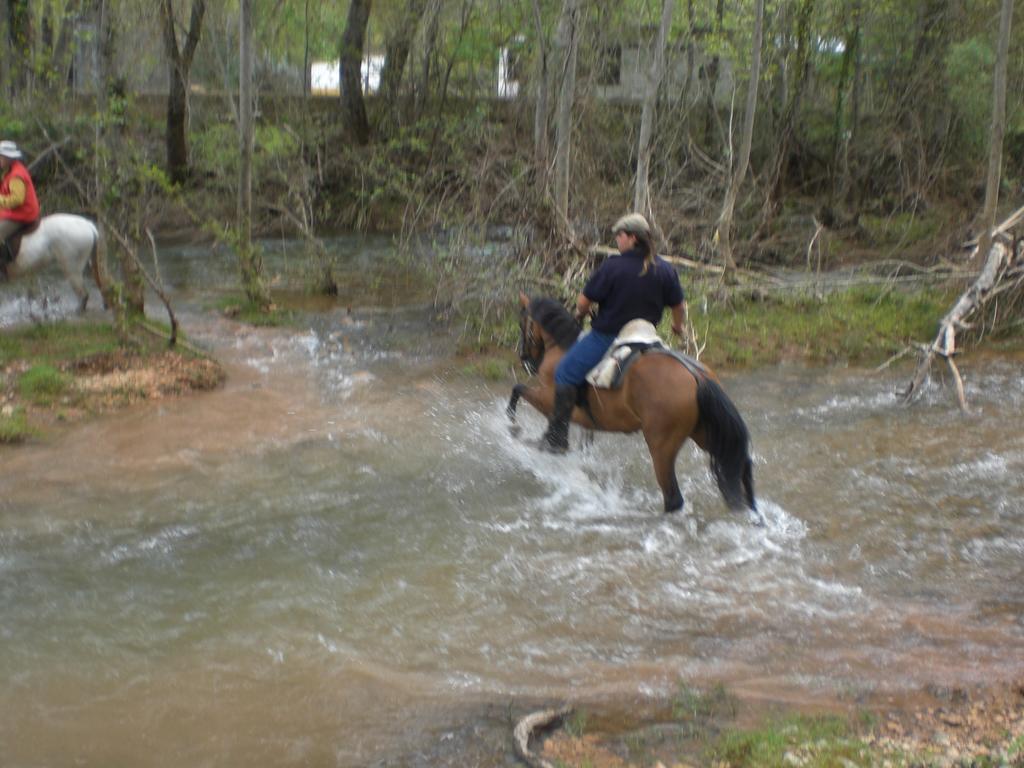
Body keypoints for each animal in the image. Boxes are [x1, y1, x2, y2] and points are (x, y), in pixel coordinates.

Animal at [507, 294, 757, 524]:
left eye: (521, 323)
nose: (524, 357)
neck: (562, 346)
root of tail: (697, 376)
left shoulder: (548, 399)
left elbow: (519, 390)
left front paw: (515, 428)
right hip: (706, 433)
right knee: (739, 464)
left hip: (661, 447)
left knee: (673, 496)